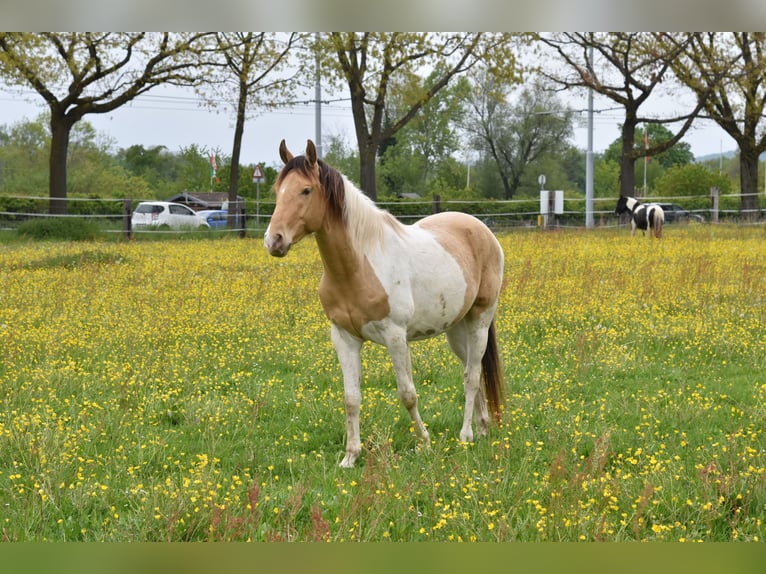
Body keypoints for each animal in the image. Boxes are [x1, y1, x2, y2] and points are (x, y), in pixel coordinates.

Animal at [264, 139, 506, 468]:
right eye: (277, 191)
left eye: (305, 190)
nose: (273, 240)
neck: (359, 265)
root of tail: (482, 230)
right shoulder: (344, 338)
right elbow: (351, 398)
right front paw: (350, 456)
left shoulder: (395, 336)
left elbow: (407, 393)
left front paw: (424, 442)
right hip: (457, 329)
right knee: (475, 369)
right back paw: (481, 429)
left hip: (480, 320)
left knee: (470, 377)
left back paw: (466, 435)